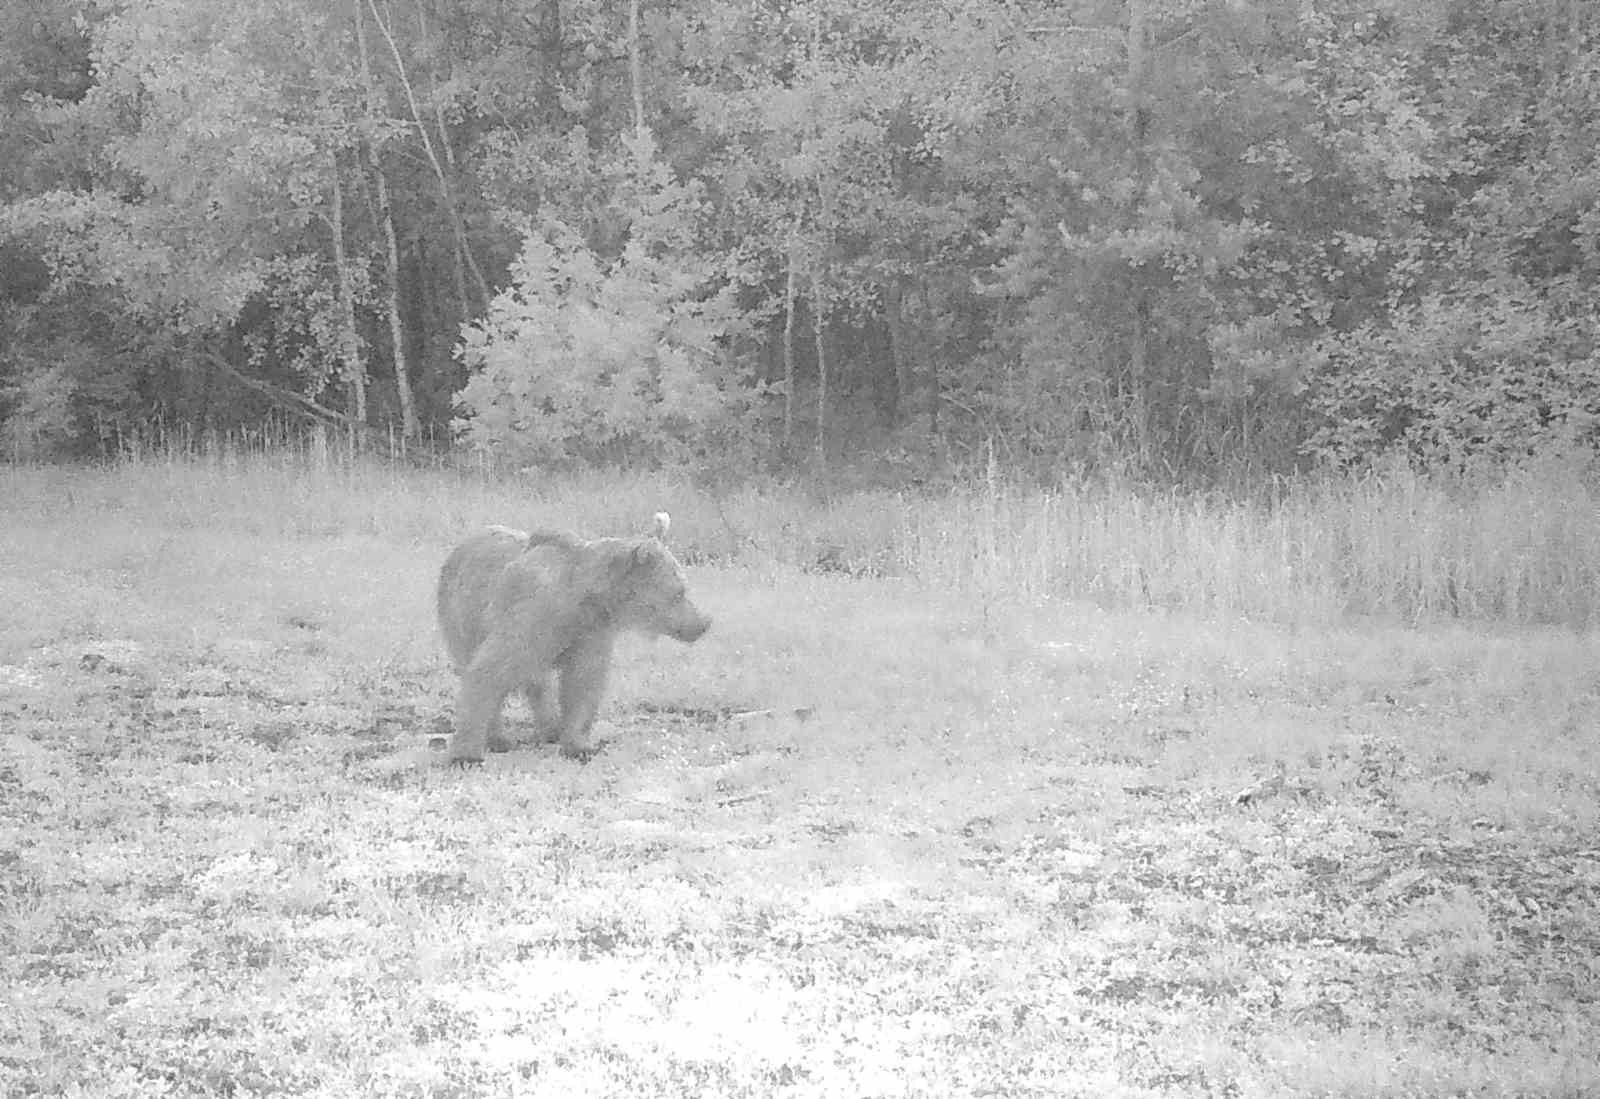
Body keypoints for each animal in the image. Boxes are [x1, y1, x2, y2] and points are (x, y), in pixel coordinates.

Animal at [438, 515, 713, 764]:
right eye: (680, 591)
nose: (703, 623)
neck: (589, 599)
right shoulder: (532, 616)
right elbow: (489, 670)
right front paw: (465, 754)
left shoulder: (590, 632)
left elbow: (583, 683)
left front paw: (579, 745)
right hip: (461, 619)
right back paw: (499, 738)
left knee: (539, 683)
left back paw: (550, 728)